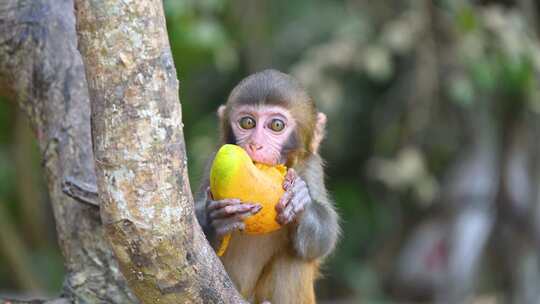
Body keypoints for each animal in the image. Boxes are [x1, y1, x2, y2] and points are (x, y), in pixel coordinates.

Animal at [194, 69, 338, 304]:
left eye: (276, 125)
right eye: (247, 123)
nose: (255, 145)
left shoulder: (312, 166)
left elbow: (323, 239)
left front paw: (300, 203)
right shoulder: (213, 160)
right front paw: (215, 217)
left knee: (295, 258)